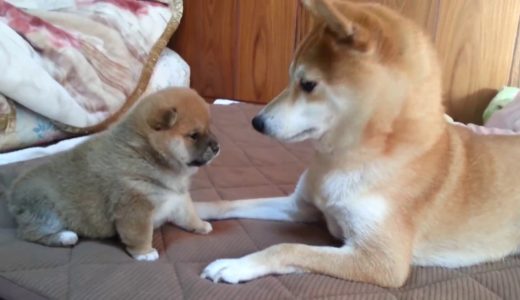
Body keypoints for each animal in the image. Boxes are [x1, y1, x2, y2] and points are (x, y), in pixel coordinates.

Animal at [8, 88, 219, 262]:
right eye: (194, 135)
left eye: (209, 129)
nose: (217, 147)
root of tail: (13, 191)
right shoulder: (135, 208)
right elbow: (141, 234)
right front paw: (144, 253)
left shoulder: (178, 199)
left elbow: (189, 216)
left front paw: (201, 225)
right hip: (47, 213)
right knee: (29, 233)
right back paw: (65, 236)